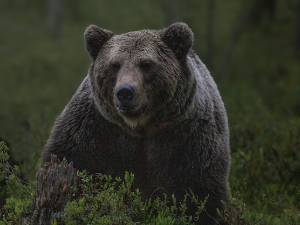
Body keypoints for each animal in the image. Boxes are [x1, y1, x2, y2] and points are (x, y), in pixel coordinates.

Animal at [41, 22, 230, 224]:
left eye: (146, 64)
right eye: (115, 65)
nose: (125, 92)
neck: (140, 127)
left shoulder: (188, 136)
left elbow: (200, 191)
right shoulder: (93, 129)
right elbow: (72, 158)